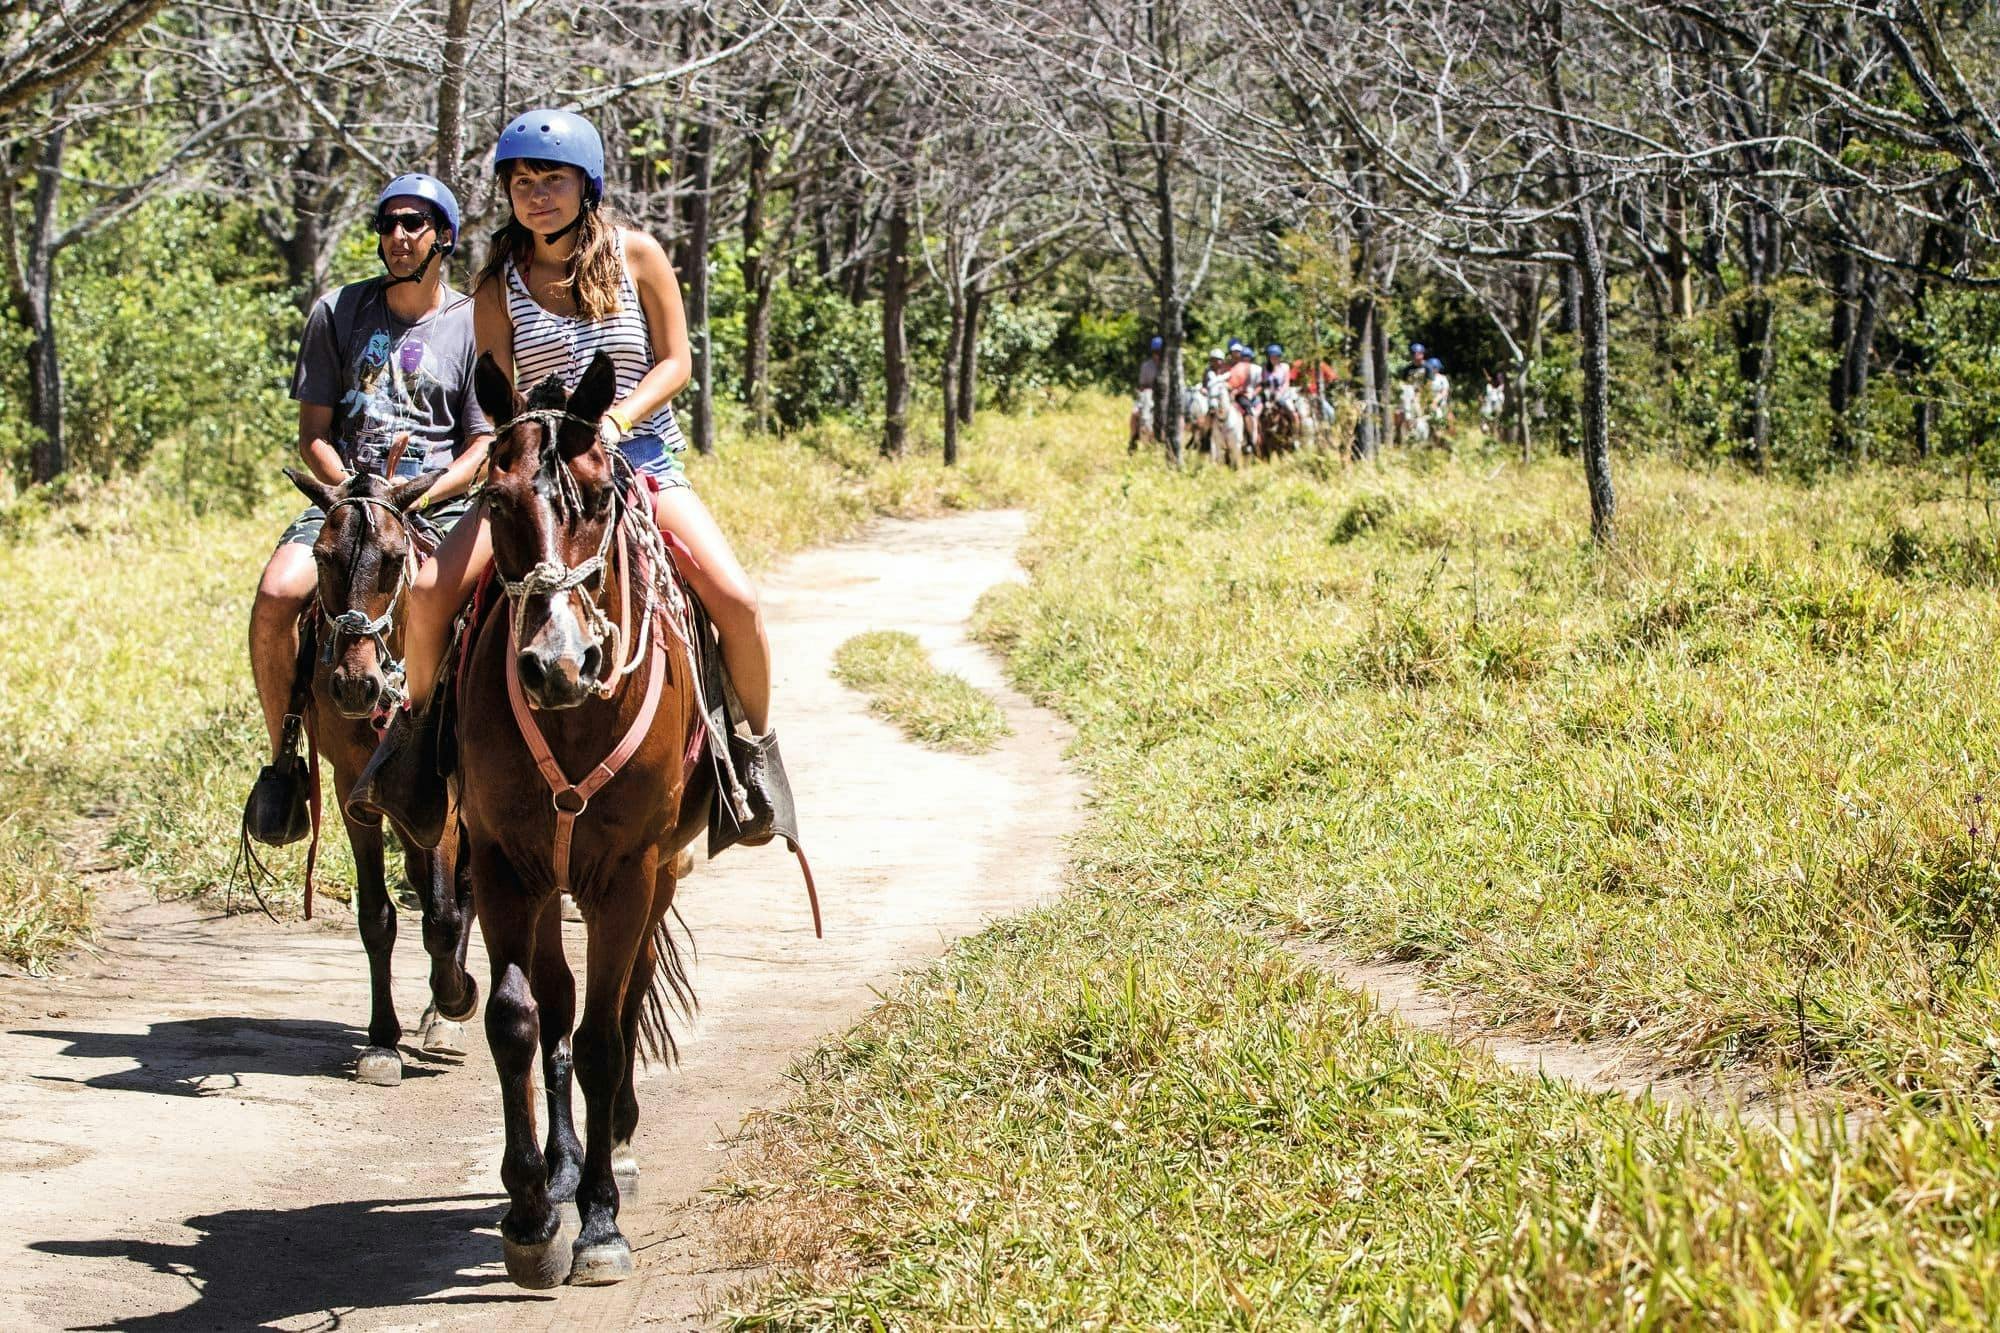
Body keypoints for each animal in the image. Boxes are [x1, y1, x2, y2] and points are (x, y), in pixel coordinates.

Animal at [288, 464, 482, 1080]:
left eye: (395, 560)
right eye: (322, 556)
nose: (355, 685)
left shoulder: (447, 798)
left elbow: (445, 913)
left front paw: (454, 1000)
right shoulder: (355, 787)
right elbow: (377, 916)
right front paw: (381, 1040)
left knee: (460, 892)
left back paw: (444, 1009)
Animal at [454, 352, 712, 1288]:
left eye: (599, 500)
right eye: (496, 502)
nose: (558, 663)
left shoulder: (628, 873)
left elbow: (604, 1036)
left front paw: (599, 1223)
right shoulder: (501, 863)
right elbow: (517, 1020)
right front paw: (531, 1208)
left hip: (657, 872)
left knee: (625, 998)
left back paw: (614, 1150)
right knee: (557, 1001)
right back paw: (563, 1163)